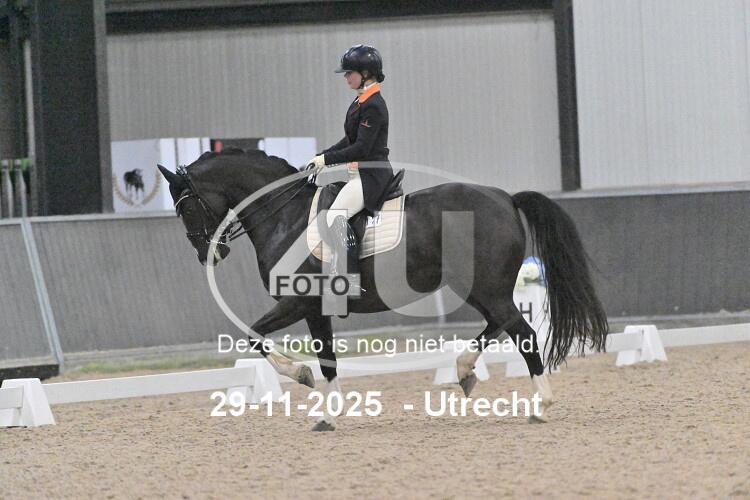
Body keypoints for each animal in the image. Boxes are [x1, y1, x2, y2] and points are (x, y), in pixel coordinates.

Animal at [158, 148, 608, 431]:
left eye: (186, 206)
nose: (208, 254)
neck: (285, 216)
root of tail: (506, 199)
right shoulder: (315, 309)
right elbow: (328, 360)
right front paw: (328, 415)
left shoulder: (298, 301)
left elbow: (252, 335)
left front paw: (300, 376)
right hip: (480, 288)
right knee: (499, 326)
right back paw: (464, 371)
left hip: (486, 288)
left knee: (524, 333)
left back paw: (540, 407)